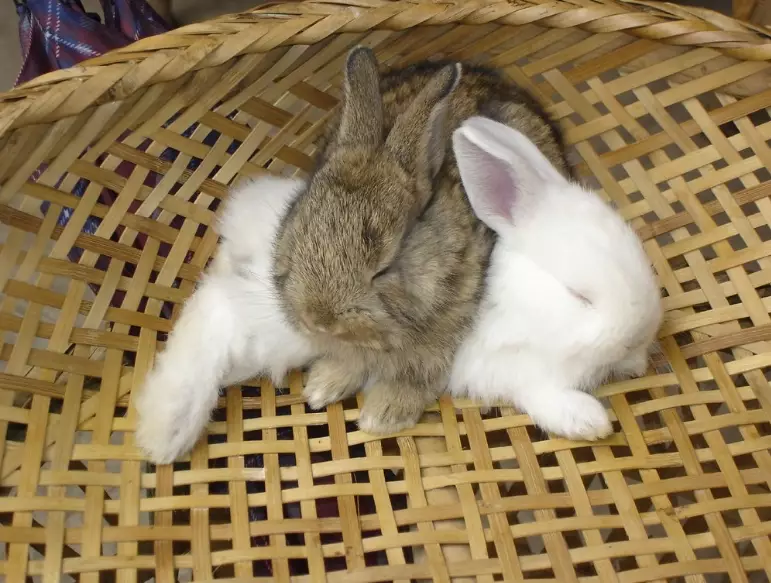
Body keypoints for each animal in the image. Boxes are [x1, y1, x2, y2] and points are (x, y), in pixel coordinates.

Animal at [273, 47, 571, 434]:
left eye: (383, 269)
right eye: (300, 225)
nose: (319, 318)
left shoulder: (446, 339)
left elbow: (417, 376)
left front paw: (381, 416)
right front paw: (321, 387)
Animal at [447, 116, 663, 440]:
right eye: (577, 294)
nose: (637, 336)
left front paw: (635, 363)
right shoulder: (492, 366)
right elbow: (536, 391)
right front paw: (589, 422)